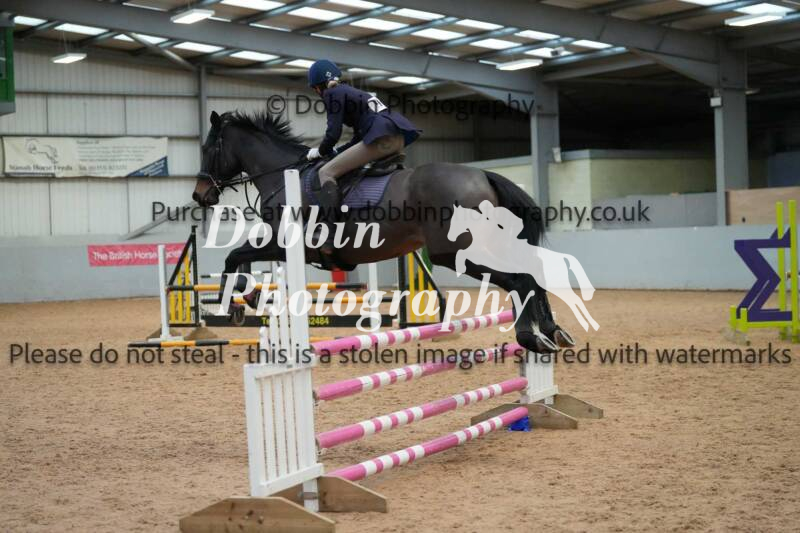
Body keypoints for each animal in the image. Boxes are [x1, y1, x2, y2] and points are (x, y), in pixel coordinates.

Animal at [192, 109, 574, 353]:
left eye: (208, 149)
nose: (200, 195)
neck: (284, 175)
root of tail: (483, 175)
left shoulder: (284, 243)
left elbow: (234, 256)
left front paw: (236, 299)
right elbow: (239, 256)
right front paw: (246, 300)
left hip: (453, 254)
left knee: (519, 280)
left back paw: (532, 338)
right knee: (531, 275)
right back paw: (553, 332)